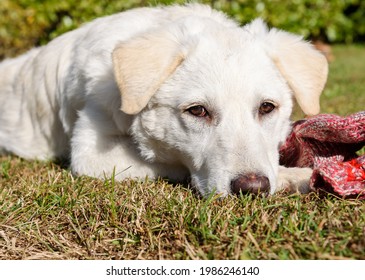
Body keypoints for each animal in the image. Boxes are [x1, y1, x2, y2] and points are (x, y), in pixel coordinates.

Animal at [0, 4, 326, 197]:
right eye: (198, 111)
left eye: (267, 107)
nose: (252, 189)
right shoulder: (89, 154)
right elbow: (169, 164)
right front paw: (293, 175)